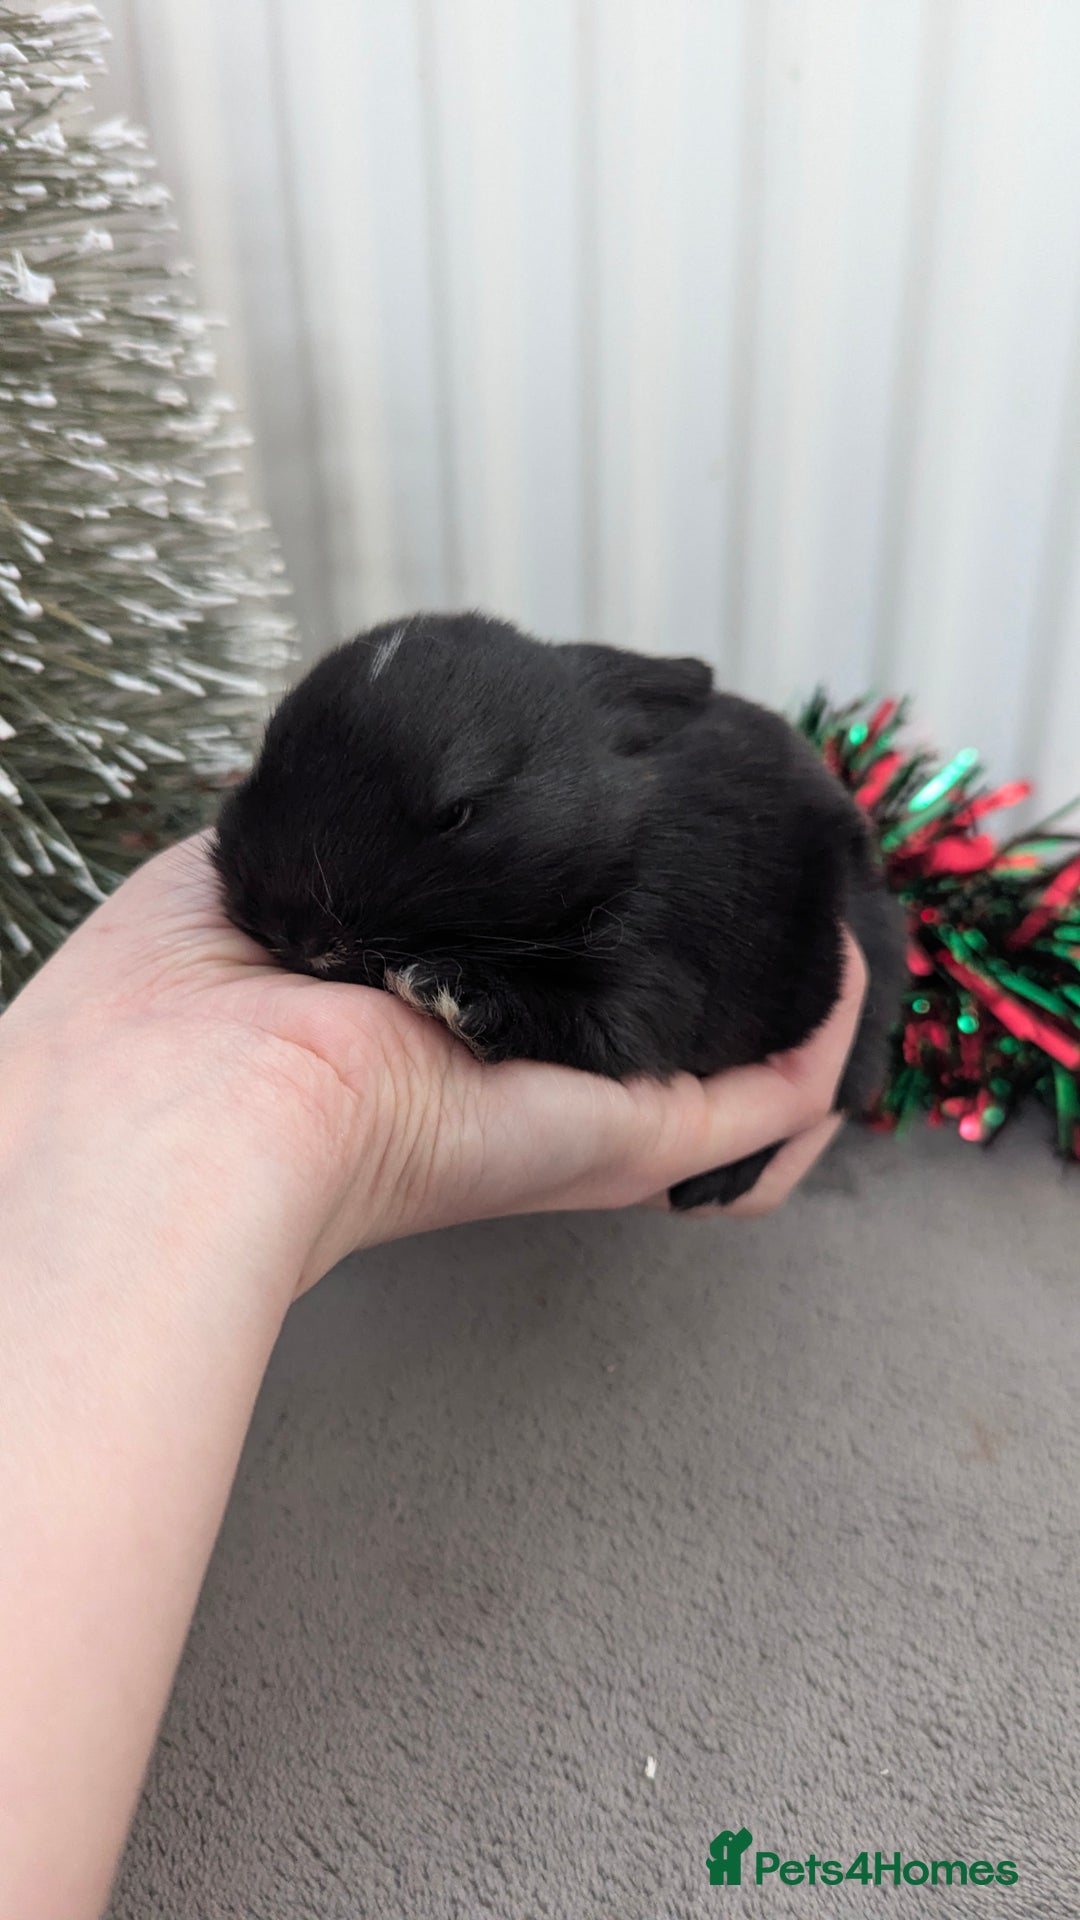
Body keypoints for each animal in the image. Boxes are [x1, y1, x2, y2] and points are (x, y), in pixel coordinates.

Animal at [213, 611, 907, 1209]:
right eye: (267, 754)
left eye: (456, 812)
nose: (293, 932)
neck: (615, 820)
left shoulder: (646, 978)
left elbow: (584, 1022)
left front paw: (448, 991)